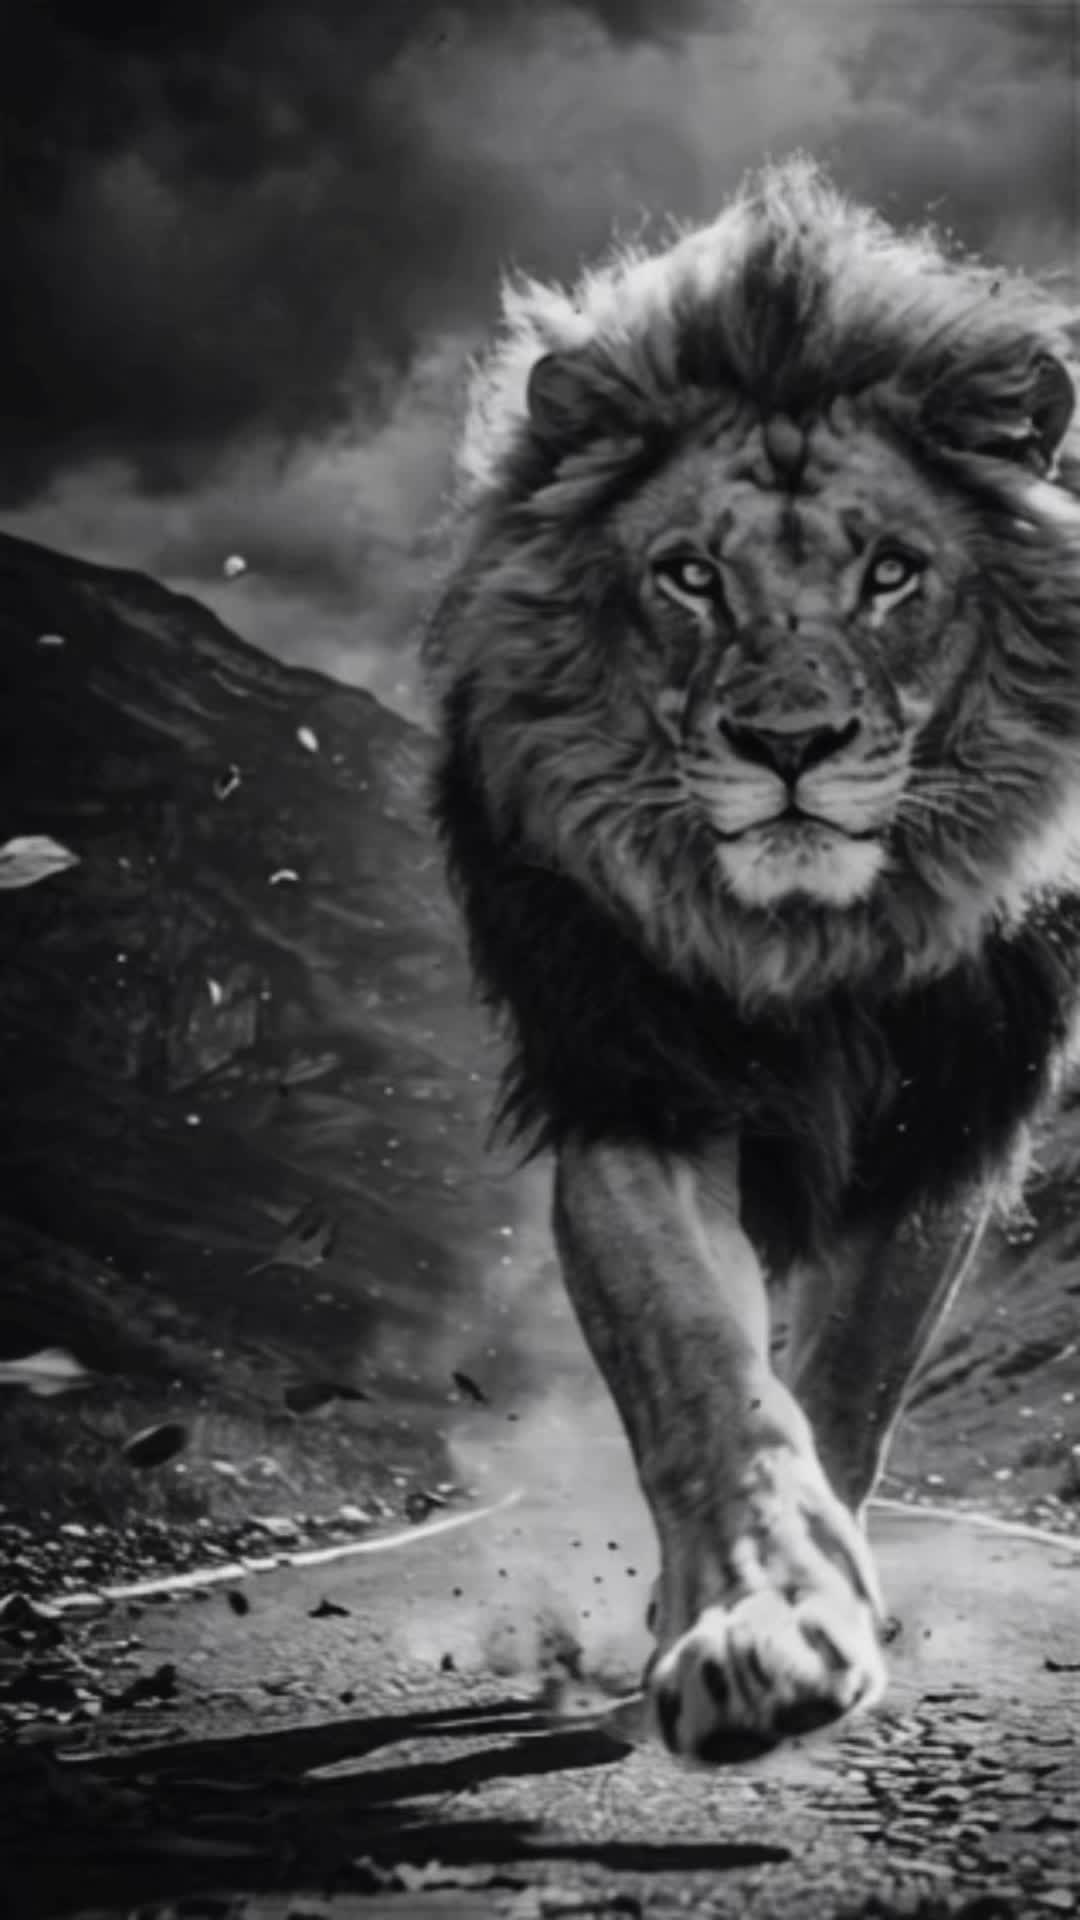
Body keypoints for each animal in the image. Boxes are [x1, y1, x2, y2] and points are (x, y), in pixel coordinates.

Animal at [423, 157, 1080, 1763]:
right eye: (689, 577)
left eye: (894, 574)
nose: (791, 745)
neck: (807, 947)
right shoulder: (635, 1091)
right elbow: (710, 1381)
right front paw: (749, 1628)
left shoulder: (938, 1132)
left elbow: (846, 1391)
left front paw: (822, 1615)